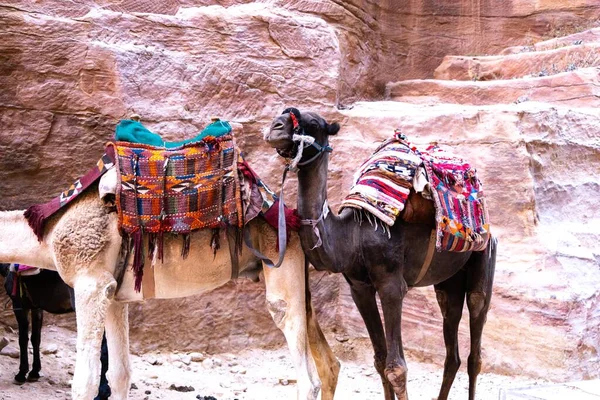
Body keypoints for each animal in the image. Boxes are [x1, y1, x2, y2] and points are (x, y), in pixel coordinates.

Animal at [0, 264, 111, 398]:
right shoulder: (36, 307)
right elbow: (35, 338)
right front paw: (34, 372)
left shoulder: (19, 304)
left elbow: (23, 339)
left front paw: (21, 374)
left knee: (103, 350)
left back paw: (102, 392)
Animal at [266, 108, 496, 400]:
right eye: (283, 112)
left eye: (315, 122)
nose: (275, 127)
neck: (352, 235)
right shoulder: (359, 288)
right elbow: (379, 360)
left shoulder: (391, 285)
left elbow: (396, 367)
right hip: (449, 278)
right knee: (451, 337)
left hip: (485, 253)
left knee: (476, 336)